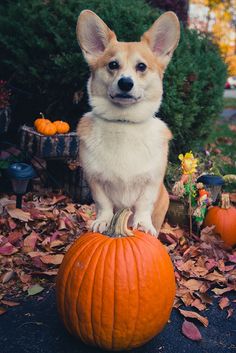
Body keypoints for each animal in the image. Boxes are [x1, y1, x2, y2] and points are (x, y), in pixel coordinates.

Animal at [76, 9, 180, 235]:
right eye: (112, 65)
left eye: (141, 66)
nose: (125, 83)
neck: (123, 122)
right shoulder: (94, 180)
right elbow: (104, 203)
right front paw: (103, 221)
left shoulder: (151, 182)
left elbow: (143, 205)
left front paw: (143, 224)